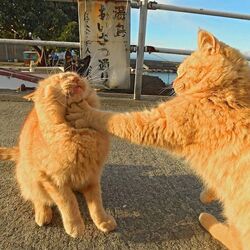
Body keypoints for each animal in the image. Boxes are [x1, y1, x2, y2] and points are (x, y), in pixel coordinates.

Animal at [0, 71, 116, 237]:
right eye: (61, 77)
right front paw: (75, 226)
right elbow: (69, 202)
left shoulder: (92, 176)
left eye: (75, 74)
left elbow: (96, 203)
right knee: (37, 197)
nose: (75, 78)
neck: (77, 133)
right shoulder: (52, 179)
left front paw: (103, 221)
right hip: (29, 178)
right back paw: (43, 215)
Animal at [67, 30, 250, 249]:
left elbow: (112, 119)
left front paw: (86, 113)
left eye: (182, 72)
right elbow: (217, 185)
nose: (173, 83)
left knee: (234, 239)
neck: (227, 90)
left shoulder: (158, 123)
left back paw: (208, 220)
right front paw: (208, 194)